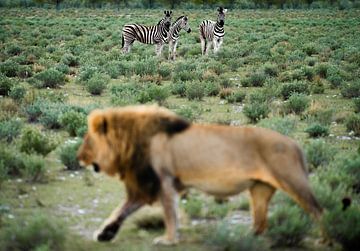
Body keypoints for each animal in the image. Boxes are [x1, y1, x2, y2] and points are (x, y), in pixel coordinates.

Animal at [77, 104, 322, 245]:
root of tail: (295, 144)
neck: (130, 142)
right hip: (259, 190)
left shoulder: (163, 181)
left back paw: (326, 240)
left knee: (319, 211)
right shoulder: (145, 185)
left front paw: (168, 240)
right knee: (260, 225)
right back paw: (245, 238)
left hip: (293, 181)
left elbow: (170, 214)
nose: (78, 157)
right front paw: (105, 234)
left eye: (87, 140)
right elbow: (121, 211)